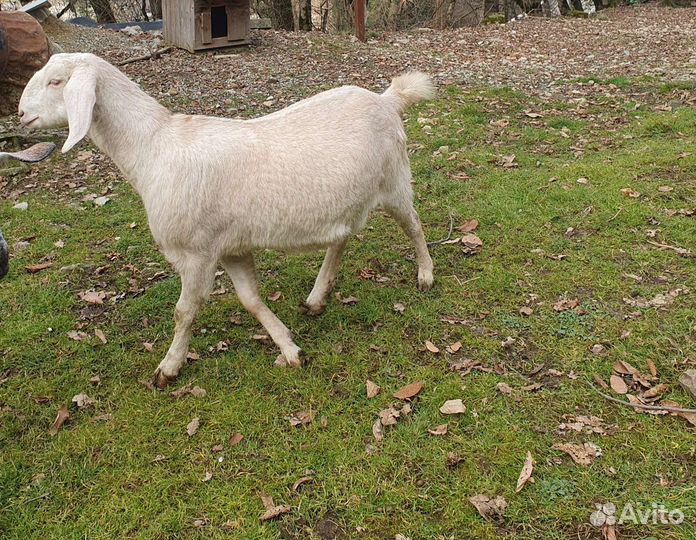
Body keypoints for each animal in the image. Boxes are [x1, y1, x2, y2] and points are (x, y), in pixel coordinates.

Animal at [19, 53, 435, 387]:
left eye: (56, 81)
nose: (21, 114)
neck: (153, 146)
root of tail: (387, 98)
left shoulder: (195, 252)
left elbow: (183, 312)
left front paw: (168, 367)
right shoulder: (230, 246)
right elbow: (250, 300)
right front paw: (289, 347)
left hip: (394, 180)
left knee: (414, 225)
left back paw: (425, 275)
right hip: (348, 198)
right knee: (341, 238)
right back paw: (317, 297)